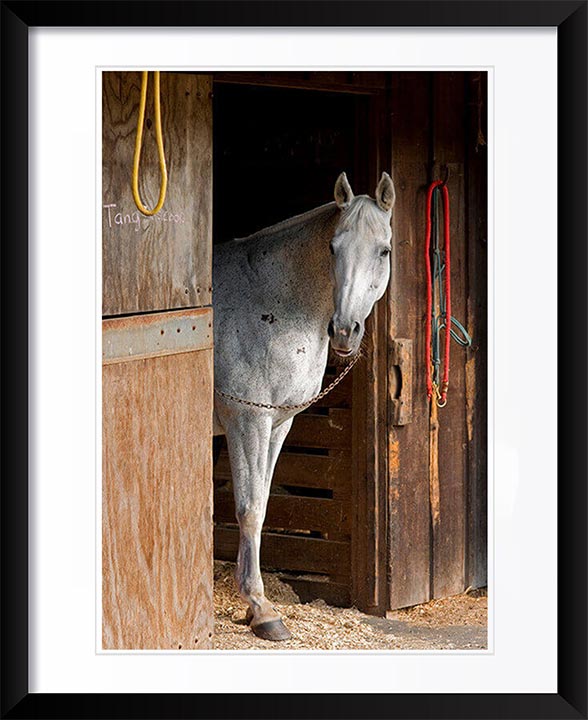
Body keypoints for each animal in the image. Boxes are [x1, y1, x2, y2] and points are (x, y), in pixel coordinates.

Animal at [212, 171, 396, 641]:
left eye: (383, 250)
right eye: (333, 246)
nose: (345, 331)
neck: (269, 302)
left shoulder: (278, 425)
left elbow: (260, 503)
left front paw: (254, 605)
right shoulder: (248, 421)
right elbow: (250, 508)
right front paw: (261, 610)